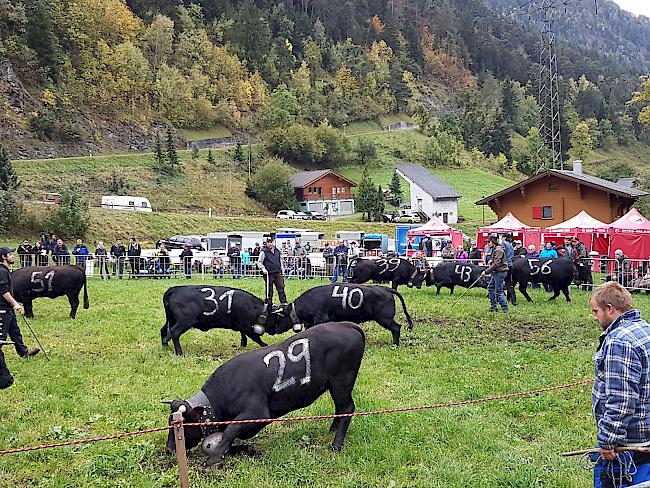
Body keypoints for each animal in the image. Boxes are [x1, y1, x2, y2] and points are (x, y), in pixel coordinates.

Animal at [162, 320, 364, 466]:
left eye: (181, 424)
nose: (169, 449)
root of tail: (346, 325)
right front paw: (242, 450)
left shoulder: (257, 412)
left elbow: (230, 430)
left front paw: (215, 458)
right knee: (340, 408)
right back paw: (332, 431)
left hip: (342, 382)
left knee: (347, 408)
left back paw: (336, 445)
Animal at [270, 284, 412, 346]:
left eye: (280, 317)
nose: (274, 330)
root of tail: (386, 289)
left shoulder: (321, 319)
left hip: (385, 318)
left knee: (396, 328)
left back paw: (395, 345)